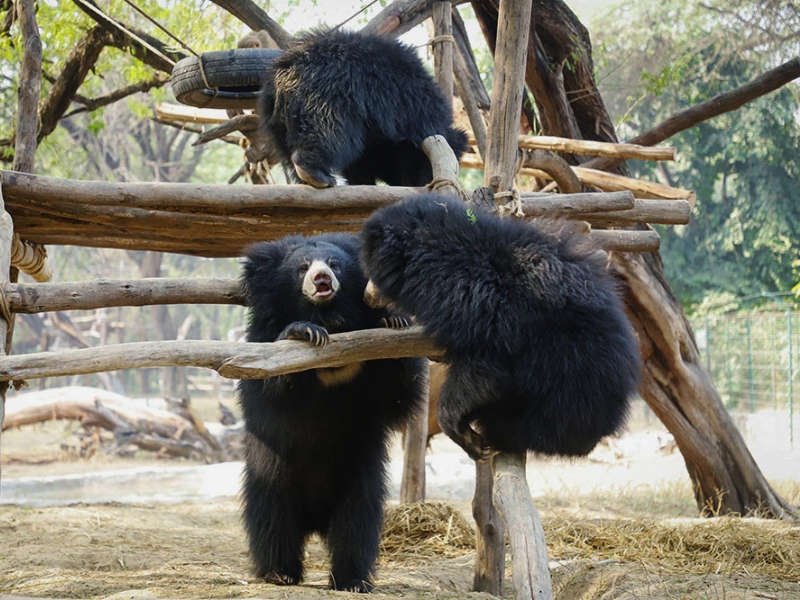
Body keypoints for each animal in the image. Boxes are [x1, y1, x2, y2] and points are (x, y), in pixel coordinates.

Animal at [238, 233, 425, 592]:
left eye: (335, 264)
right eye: (302, 267)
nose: (322, 277)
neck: (331, 320)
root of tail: (314, 519)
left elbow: (396, 398)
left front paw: (394, 321)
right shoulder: (262, 341)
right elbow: (270, 387)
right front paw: (303, 331)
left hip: (358, 478)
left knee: (357, 527)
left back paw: (351, 579)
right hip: (271, 474)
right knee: (271, 518)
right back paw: (279, 572)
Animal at [258, 28, 468, 188]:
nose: (426, 182)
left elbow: (360, 164)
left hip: (276, 120)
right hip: (328, 95)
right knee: (329, 134)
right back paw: (317, 174)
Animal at [359, 193, 642, 461]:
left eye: (372, 274)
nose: (367, 297)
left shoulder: (484, 314)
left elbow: (483, 375)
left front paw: (465, 435)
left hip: (564, 389)